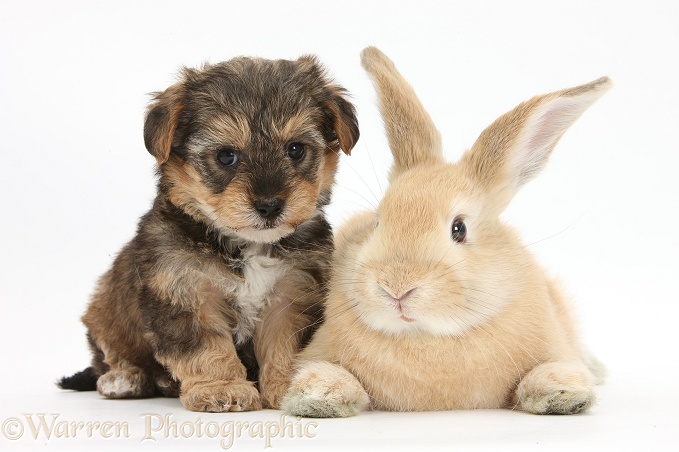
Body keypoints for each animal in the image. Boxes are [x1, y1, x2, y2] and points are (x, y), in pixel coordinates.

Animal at [57, 54, 362, 412]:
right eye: (226, 156)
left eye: (296, 149)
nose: (270, 205)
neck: (244, 245)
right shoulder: (185, 292)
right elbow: (206, 348)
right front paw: (222, 388)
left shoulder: (291, 293)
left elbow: (284, 343)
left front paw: (290, 384)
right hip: (105, 308)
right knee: (110, 352)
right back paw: (124, 379)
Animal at [280, 47, 612, 418]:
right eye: (378, 220)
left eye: (459, 228)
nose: (397, 287)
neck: (425, 337)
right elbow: (331, 370)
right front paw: (318, 394)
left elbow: (548, 368)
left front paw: (564, 392)